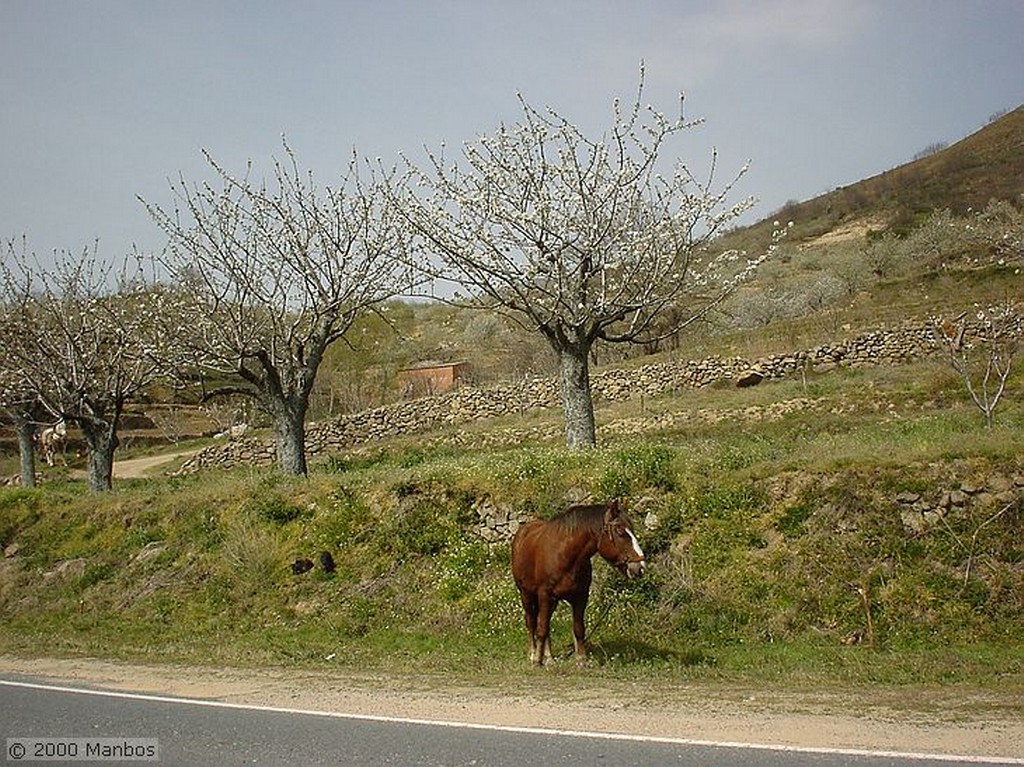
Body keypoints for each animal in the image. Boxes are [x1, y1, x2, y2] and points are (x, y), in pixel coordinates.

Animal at [512, 497, 647, 663]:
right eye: (620, 532)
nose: (640, 567)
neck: (565, 556)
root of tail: (522, 532)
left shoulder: (580, 597)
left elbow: (578, 628)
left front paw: (581, 658)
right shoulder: (545, 595)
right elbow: (541, 628)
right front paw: (537, 660)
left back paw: (548, 657)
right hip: (526, 594)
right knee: (532, 622)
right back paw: (533, 653)